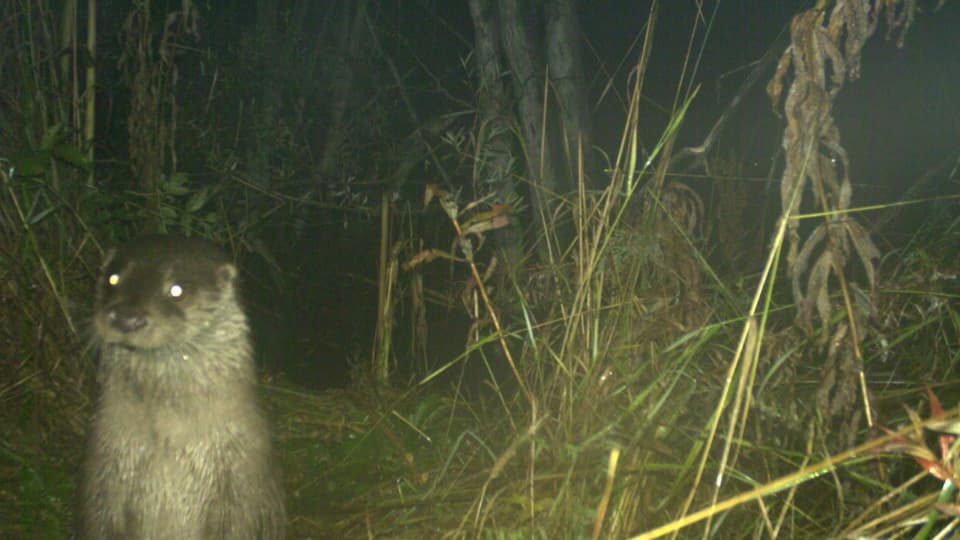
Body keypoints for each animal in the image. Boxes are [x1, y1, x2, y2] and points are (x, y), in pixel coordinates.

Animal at [82, 235, 284, 540]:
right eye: (113, 279)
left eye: (176, 290)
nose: (127, 318)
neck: (170, 440)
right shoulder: (105, 463)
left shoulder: (242, 474)